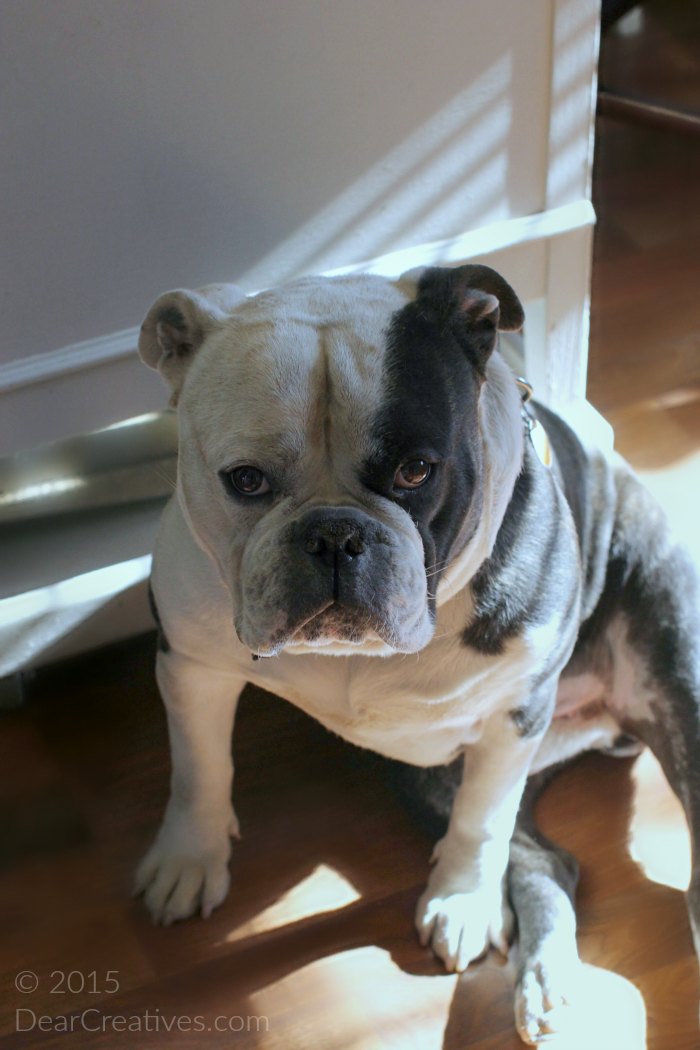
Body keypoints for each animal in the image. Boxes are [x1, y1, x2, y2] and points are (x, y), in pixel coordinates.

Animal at [134, 264, 696, 1041]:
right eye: (245, 480)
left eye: (416, 472)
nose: (334, 534)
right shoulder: (191, 666)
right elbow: (198, 768)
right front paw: (190, 857)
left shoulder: (514, 716)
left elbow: (481, 826)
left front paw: (461, 899)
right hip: (425, 775)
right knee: (546, 862)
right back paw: (545, 981)